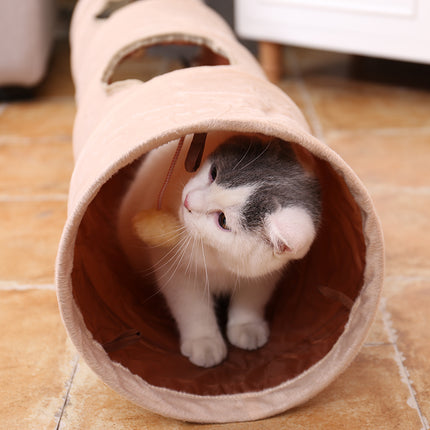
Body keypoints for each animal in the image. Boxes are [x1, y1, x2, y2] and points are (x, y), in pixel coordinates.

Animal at [116, 134, 320, 366]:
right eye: (213, 173)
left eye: (222, 220)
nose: (188, 201)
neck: (218, 260)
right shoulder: (175, 271)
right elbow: (192, 307)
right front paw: (204, 342)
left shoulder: (264, 274)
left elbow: (252, 298)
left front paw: (246, 326)